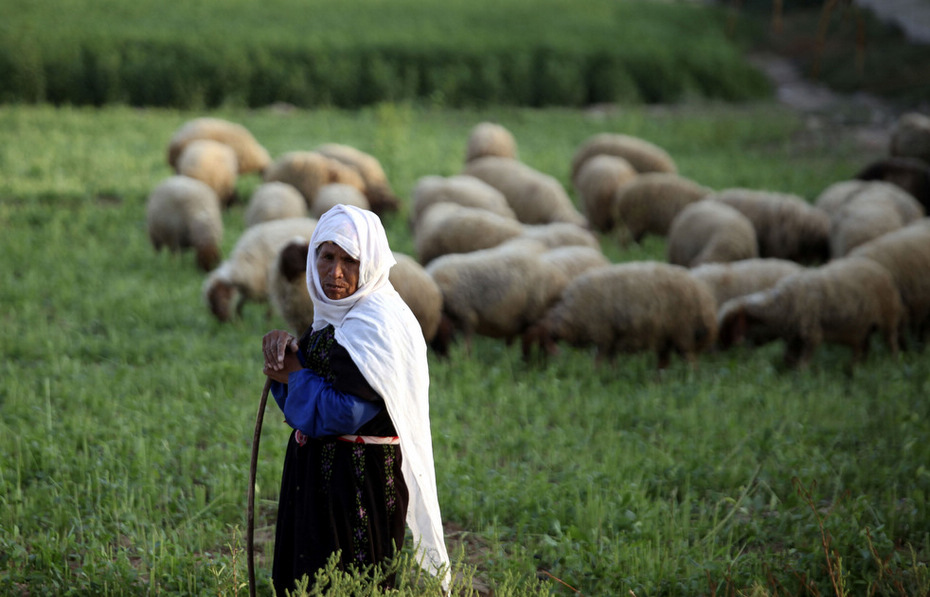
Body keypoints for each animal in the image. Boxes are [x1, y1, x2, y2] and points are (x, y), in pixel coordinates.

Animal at [520, 260, 716, 368]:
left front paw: (595, 376)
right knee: (665, 362)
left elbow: (599, 360)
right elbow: (610, 360)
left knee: (691, 361)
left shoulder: (603, 334)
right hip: (667, 336)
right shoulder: (611, 337)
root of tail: (705, 299)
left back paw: (689, 380)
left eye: (536, 344)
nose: (527, 366)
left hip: (683, 333)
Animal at [716, 258, 904, 368]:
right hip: (863, 326)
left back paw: (894, 363)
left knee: (891, 342)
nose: (716, 351)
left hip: (889, 317)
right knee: (862, 348)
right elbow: (788, 359)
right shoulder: (794, 337)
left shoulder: (811, 334)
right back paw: (855, 369)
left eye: (728, 326)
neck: (781, 304)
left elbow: (802, 364)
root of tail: (878, 267)